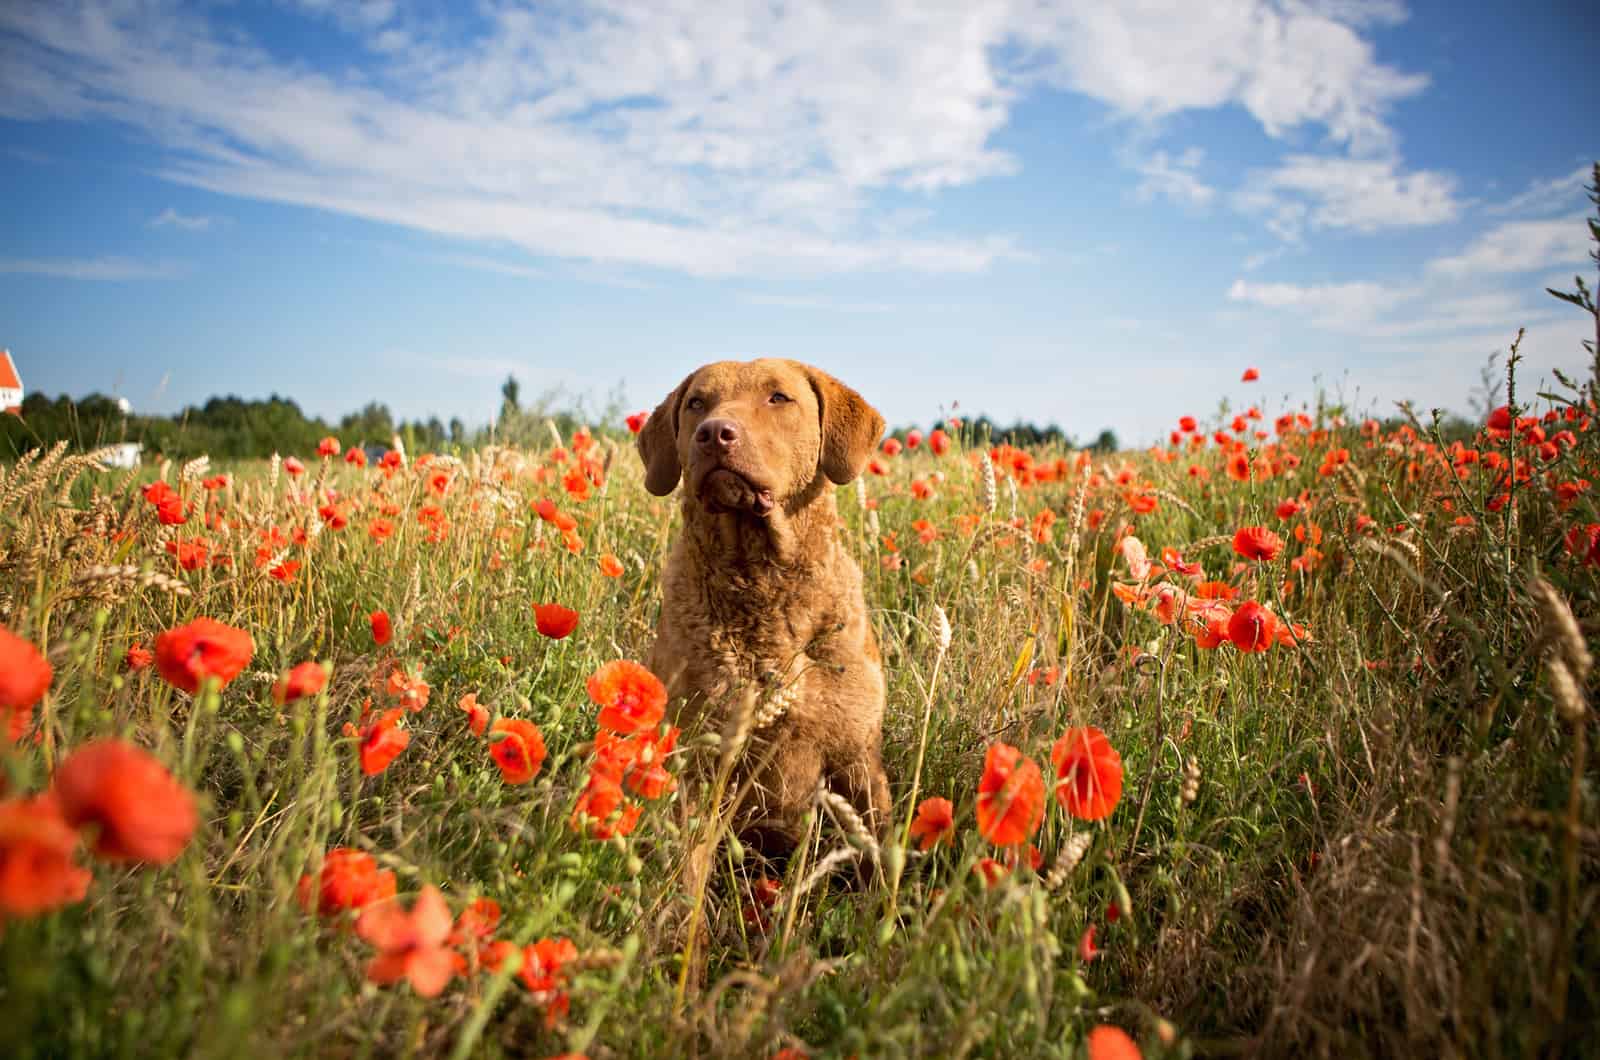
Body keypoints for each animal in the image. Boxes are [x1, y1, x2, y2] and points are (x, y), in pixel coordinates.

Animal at [633, 358, 889, 858]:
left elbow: (878, 856)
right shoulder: (697, 763)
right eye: (696, 403)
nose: (715, 433)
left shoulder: (859, 760)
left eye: (778, 398)